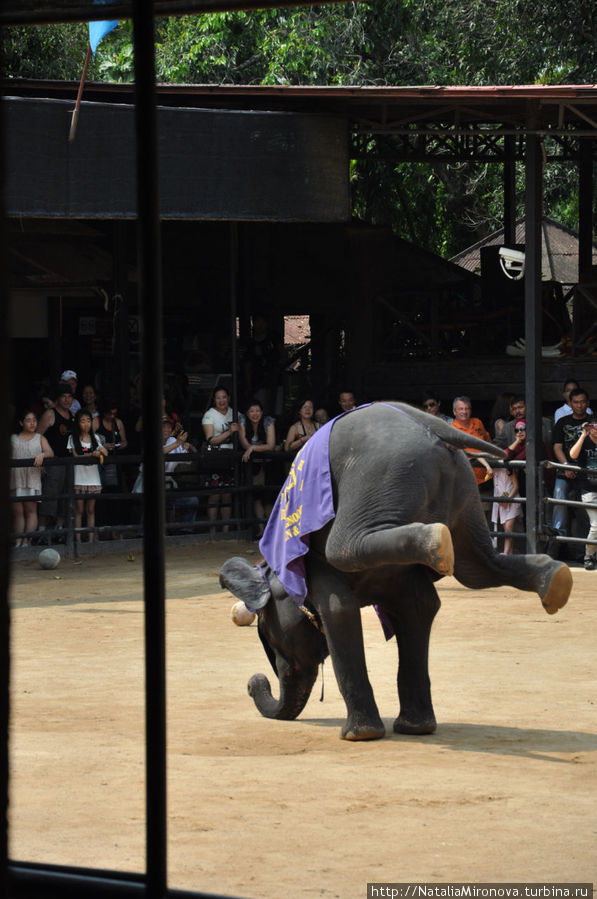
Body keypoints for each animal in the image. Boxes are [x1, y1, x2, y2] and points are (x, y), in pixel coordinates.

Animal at [218, 400, 568, 740]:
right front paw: (416, 729)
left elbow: (339, 609)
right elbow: (420, 608)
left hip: (385, 473)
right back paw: (553, 581)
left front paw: (359, 735)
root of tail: (436, 426)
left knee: (343, 546)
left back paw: (437, 540)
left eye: (266, 634)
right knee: (476, 567)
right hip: (457, 484)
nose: (255, 681)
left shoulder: (316, 568)